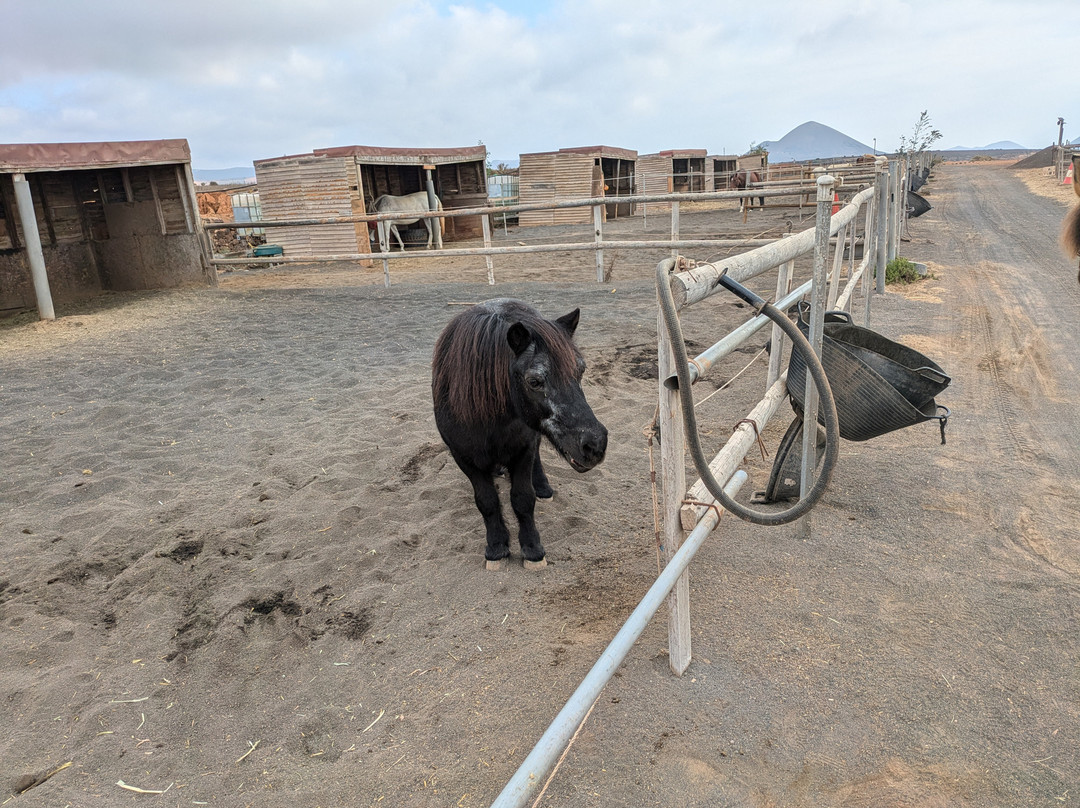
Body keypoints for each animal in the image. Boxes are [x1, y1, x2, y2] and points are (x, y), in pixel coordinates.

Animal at [431, 299, 608, 569]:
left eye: (580, 371)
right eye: (534, 381)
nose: (595, 444)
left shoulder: (523, 451)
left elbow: (523, 499)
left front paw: (532, 549)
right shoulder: (464, 458)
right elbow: (487, 502)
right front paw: (496, 547)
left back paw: (543, 487)